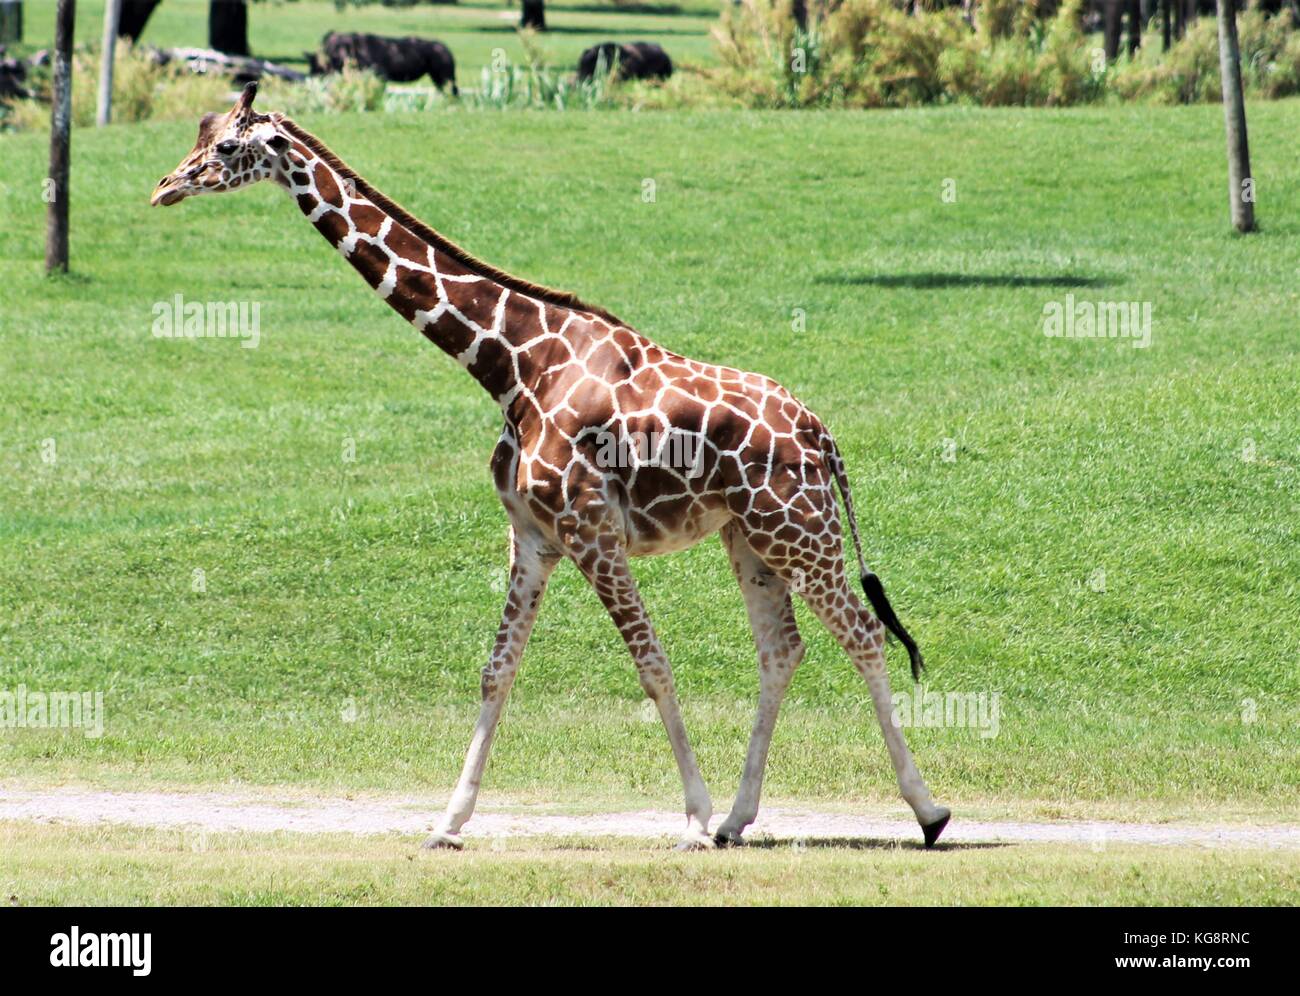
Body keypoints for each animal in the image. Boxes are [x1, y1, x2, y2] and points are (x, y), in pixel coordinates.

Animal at [152, 81, 951, 852]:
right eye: (198, 133)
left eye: (226, 146)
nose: (164, 187)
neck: (512, 365)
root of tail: (821, 434)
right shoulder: (534, 537)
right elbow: (496, 671)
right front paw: (448, 823)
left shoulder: (591, 529)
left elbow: (652, 664)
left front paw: (690, 820)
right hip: (750, 538)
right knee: (782, 651)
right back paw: (738, 819)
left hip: (799, 529)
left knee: (862, 633)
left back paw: (927, 812)